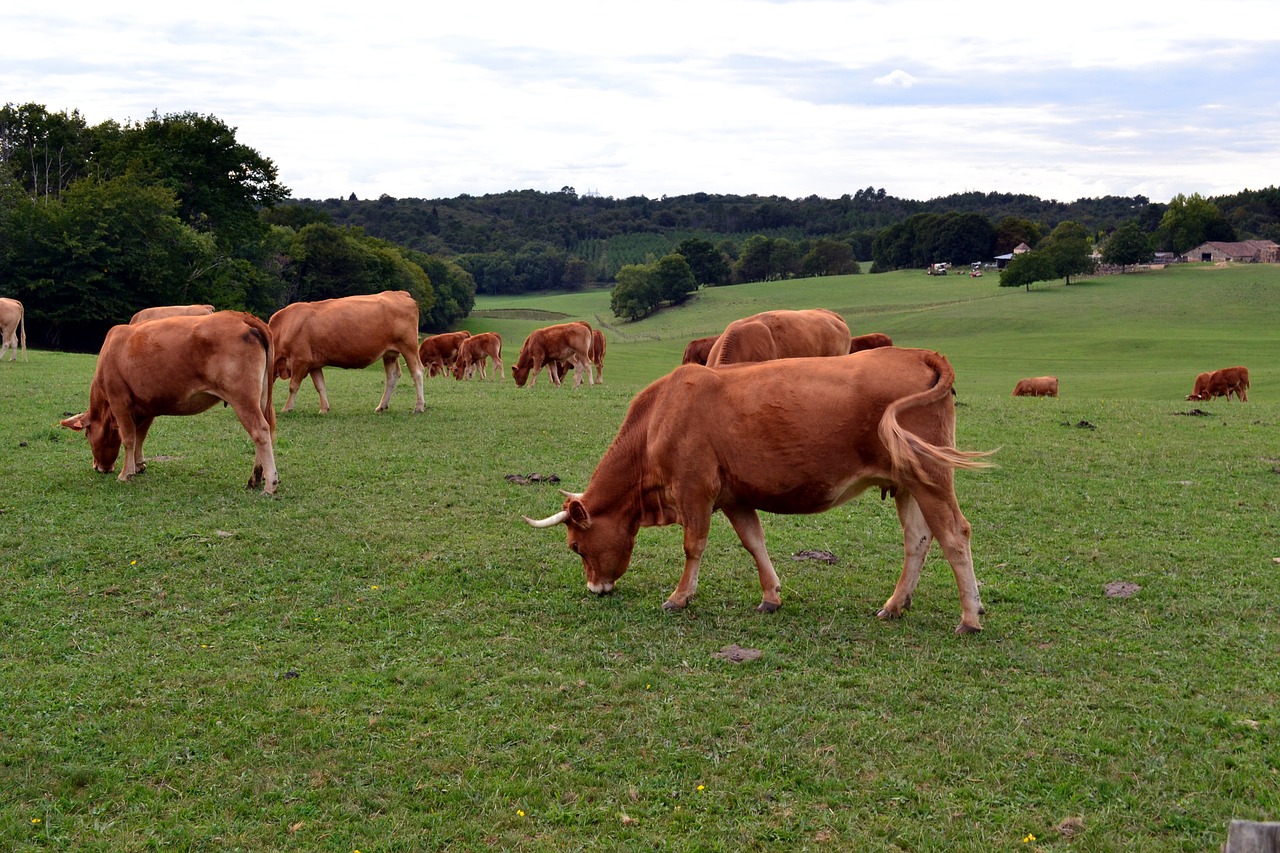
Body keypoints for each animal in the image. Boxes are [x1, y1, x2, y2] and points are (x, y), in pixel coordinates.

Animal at [59, 311, 277, 491]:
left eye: (87, 435)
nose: (98, 467)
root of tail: (242, 316)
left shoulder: (119, 399)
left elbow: (129, 437)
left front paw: (125, 473)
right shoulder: (146, 406)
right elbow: (140, 436)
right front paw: (139, 465)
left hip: (243, 399)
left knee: (260, 431)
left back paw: (270, 484)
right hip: (261, 400)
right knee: (267, 430)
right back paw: (256, 478)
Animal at [268, 290, 424, 412]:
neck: (285, 327)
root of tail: (399, 293)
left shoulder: (301, 361)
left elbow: (293, 386)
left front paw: (287, 408)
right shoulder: (314, 364)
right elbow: (320, 386)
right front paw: (324, 408)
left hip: (409, 348)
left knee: (417, 373)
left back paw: (419, 407)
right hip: (390, 353)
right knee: (392, 376)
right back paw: (381, 406)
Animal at [524, 345, 993, 630]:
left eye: (575, 547)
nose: (595, 589)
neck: (660, 416)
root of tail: (919, 353)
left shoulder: (694, 489)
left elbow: (693, 545)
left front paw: (680, 596)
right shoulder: (735, 497)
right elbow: (755, 542)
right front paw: (770, 596)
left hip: (931, 477)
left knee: (955, 535)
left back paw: (970, 616)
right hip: (906, 484)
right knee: (918, 540)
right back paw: (896, 604)